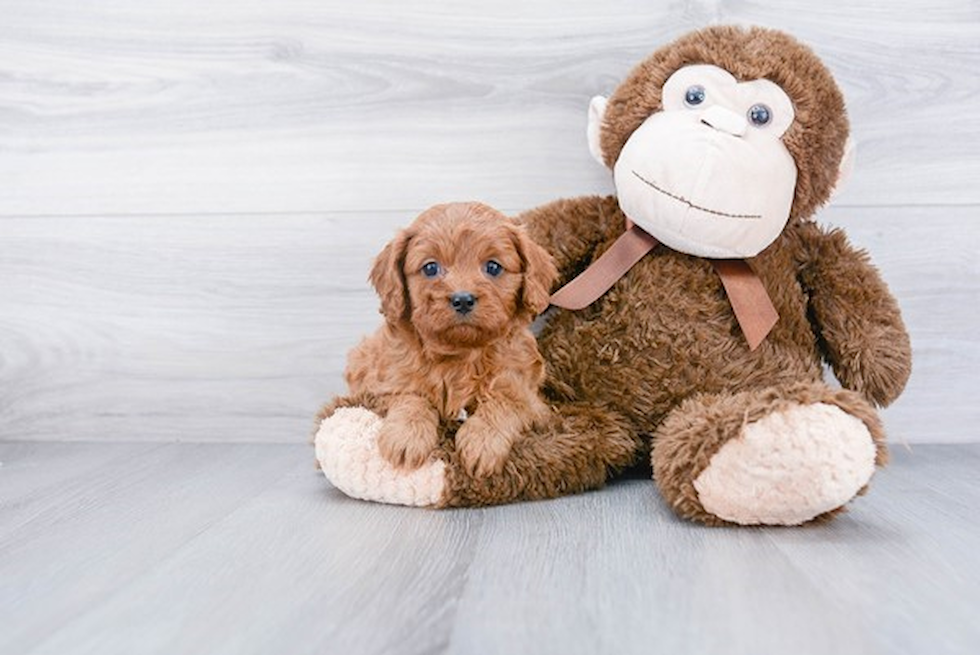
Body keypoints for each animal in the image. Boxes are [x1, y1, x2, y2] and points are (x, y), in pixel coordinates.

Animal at [346, 200, 560, 476]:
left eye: (493, 267)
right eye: (430, 267)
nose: (463, 299)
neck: (460, 353)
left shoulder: (531, 399)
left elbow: (506, 402)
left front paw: (482, 442)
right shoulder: (380, 384)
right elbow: (411, 397)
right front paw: (407, 437)